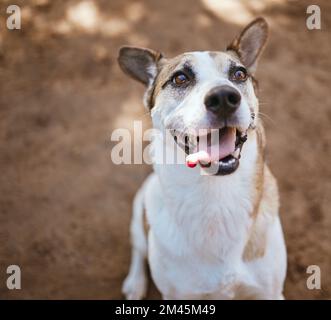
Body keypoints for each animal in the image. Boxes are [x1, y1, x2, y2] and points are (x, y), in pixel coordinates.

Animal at [118, 16, 286, 298]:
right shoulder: (176, 295)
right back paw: (135, 282)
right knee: (138, 247)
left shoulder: (269, 292)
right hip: (141, 206)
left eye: (239, 74)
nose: (224, 98)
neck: (215, 195)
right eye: (180, 78)